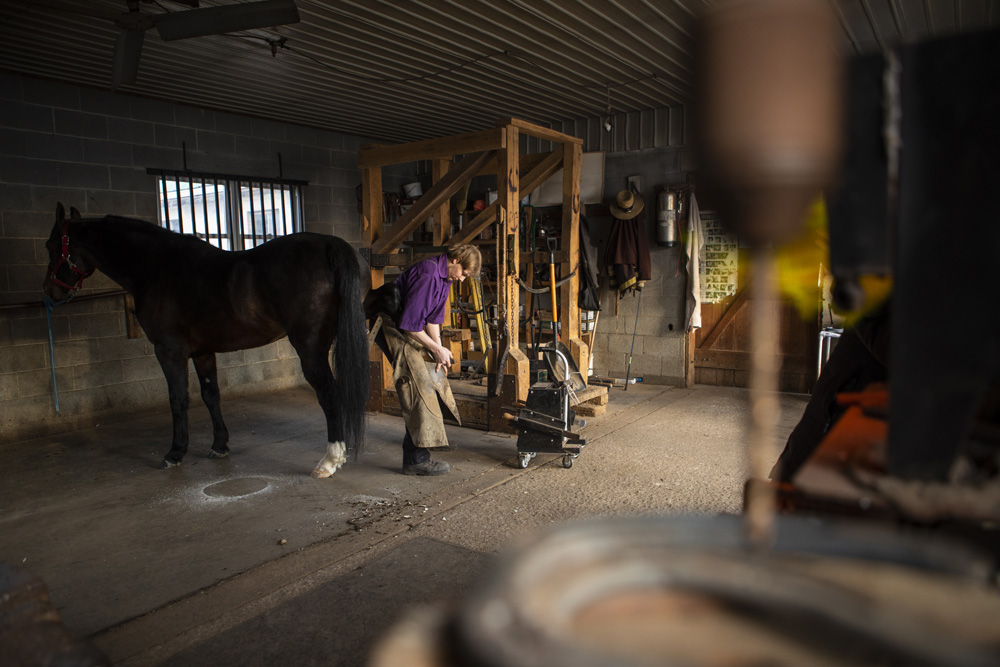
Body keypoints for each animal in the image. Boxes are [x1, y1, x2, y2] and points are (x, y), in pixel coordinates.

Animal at [43, 202, 370, 474]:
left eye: (50, 245)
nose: (51, 292)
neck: (154, 266)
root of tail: (329, 244)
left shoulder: (169, 351)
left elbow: (178, 399)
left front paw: (174, 453)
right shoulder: (202, 352)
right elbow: (211, 395)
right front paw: (219, 445)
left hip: (309, 349)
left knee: (329, 394)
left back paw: (329, 460)